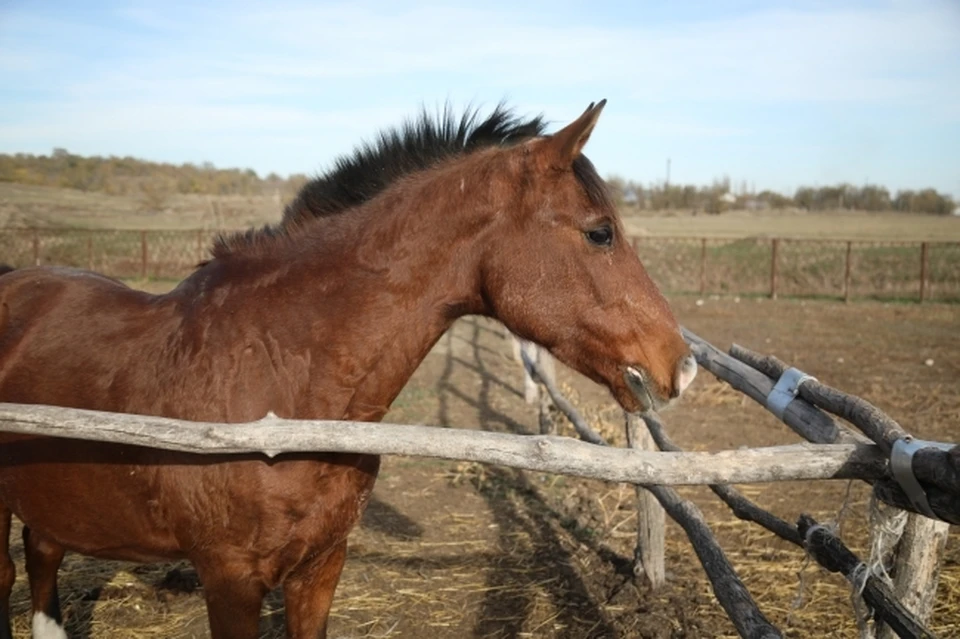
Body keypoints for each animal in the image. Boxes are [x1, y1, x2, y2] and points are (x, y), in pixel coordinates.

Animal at [0, 100, 697, 638]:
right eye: (600, 232)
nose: (682, 364)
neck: (279, 388)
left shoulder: (320, 567)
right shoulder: (228, 579)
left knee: (42, 555)